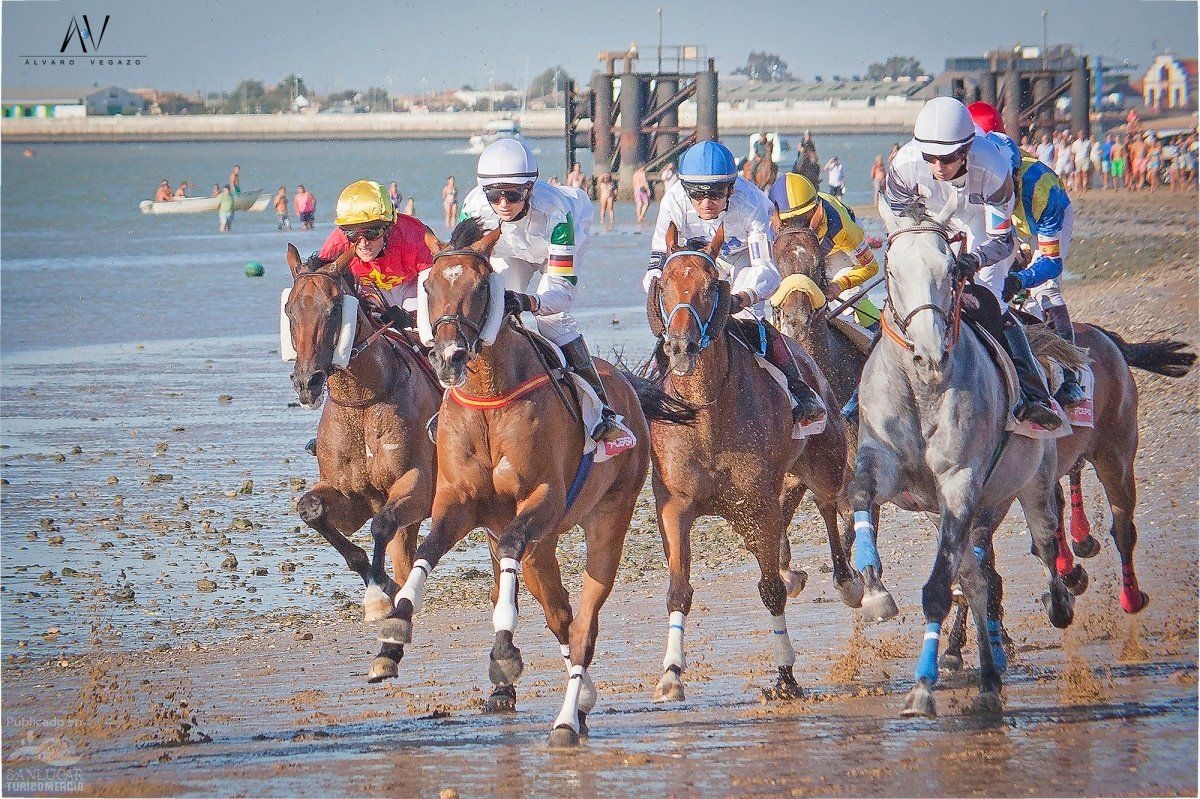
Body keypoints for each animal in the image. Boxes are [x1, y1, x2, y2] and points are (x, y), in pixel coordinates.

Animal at [284, 244, 440, 622]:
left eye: (334, 308)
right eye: (289, 309)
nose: (307, 382)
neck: (363, 402)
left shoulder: (418, 484)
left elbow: (382, 523)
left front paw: (378, 592)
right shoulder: (349, 495)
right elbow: (311, 509)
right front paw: (379, 589)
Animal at [366, 219, 694, 747]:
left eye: (480, 287)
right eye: (429, 286)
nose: (450, 356)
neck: (489, 397)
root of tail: (625, 384)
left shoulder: (542, 500)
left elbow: (511, 554)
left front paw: (503, 651)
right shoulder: (460, 503)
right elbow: (427, 549)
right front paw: (394, 627)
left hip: (605, 521)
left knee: (583, 625)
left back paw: (568, 715)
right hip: (542, 550)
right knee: (559, 614)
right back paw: (581, 700)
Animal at [644, 221, 861, 704]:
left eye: (711, 286)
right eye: (665, 285)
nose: (682, 345)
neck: (707, 414)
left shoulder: (759, 502)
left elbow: (771, 590)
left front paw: (785, 675)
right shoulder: (675, 506)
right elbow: (677, 591)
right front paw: (670, 673)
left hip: (826, 460)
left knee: (831, 505)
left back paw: (855, 586)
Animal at [848, 197, 1077, 718]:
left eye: (951, 268)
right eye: (891, 269)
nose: (931, 354)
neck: (922, 388)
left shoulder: (960, 480)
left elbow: (937, 590)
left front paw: (921, 689)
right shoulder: (883, 461)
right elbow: (860, 494)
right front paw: (874, 591)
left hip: (1025, 486)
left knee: (1042, 543)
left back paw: (1058, 605)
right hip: (962, 511)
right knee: (974, 579)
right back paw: (988, 676)